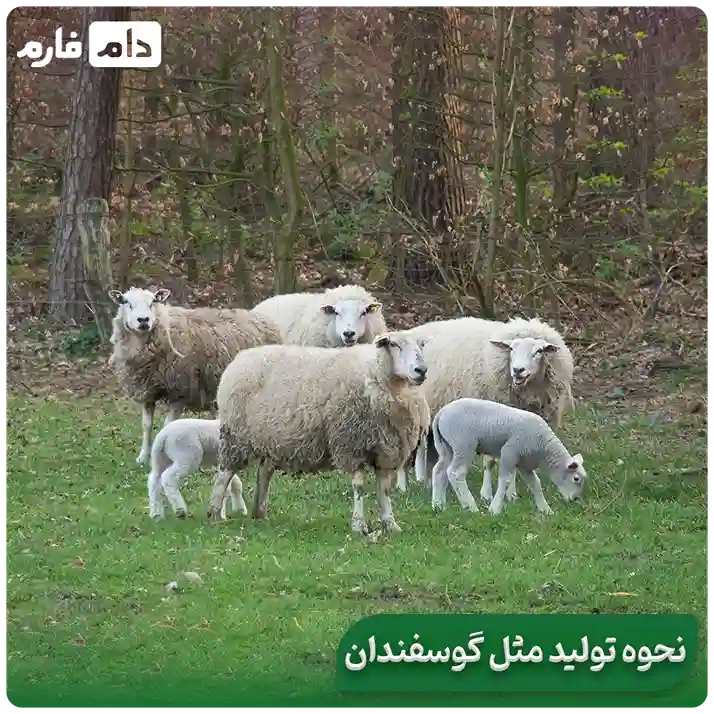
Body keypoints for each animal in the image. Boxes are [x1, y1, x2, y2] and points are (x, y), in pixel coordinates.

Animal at [108, 286, 282, 466]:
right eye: (126, 302)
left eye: (153, 302)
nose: (143, 320)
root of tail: (260, 318)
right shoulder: (147, 390)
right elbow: (146, 425)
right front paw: (142, 457)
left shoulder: (180, 390)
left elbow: (168, 424)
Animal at [206, 331, 431, 535]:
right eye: (394, 344)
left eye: (421, 345)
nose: (421, 370)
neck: (378, 375)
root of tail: (238, 359)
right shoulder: (351, 445)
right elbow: (359, 487)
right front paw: (359, 526)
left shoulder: (386, 449)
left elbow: (384, 489)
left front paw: (390, 524)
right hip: (235, 435)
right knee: (224, 473)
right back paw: (214, 514)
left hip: (270, 440)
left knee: (264, 473)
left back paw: (259, 513)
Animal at [396, 315, 575, 504]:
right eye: (511, 349)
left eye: (539, 351)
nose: (518, 370)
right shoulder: (489, 421)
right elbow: (489, 462)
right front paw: (487, 494)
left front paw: (511, 495)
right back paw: (403, 486)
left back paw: (431, 485)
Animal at [430, 398, 587, 516]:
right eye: (576, 478)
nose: (575, 499)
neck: (544, 449)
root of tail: (441, 413)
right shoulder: (509, 452)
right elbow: (505, 480)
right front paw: (494, 509)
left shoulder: (525, 464)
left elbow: (535, 484)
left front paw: (545, 509)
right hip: (463, 444)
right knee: (456, 473)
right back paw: (470, 506)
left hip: (447, 447)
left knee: (439, 471)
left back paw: (438, 505)